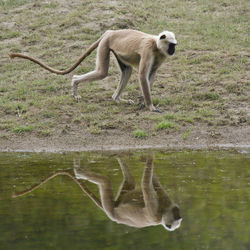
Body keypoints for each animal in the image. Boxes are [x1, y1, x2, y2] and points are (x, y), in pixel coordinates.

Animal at [8, 28, 177, 112]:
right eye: (171, 45)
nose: (173, 50)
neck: (155, 44)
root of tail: (111, 32)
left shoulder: (160, 55)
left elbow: (150, 75)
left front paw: (142, 101)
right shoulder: (148, 50)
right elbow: (143, 75)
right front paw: (150, 106)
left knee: (127, 71)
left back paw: (116, 98)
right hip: (105, 44)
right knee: (102, 72)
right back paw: (75, 82)